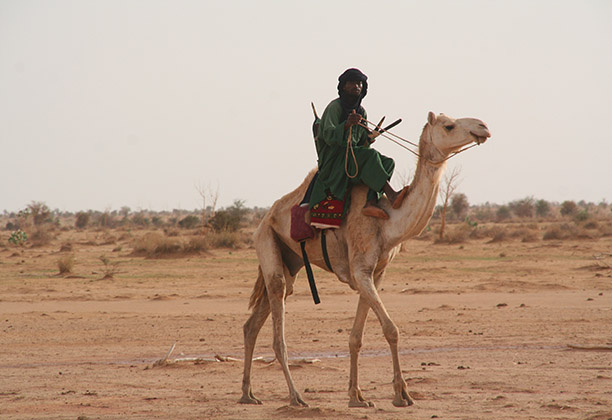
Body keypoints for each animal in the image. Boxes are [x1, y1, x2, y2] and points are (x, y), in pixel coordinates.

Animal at [240, 110, 492, 406]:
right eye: (449, 126)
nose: (483, 127)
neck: (388, 221)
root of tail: (263, 220)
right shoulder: (360, 270)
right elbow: (391, 330)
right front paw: (401, 395)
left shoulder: (375, 274)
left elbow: (356, 338)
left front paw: (357, 396)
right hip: (267, 241)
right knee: (278, 324)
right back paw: (296, 396)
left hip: (290, 258)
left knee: (253, 323)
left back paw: (247, 394)